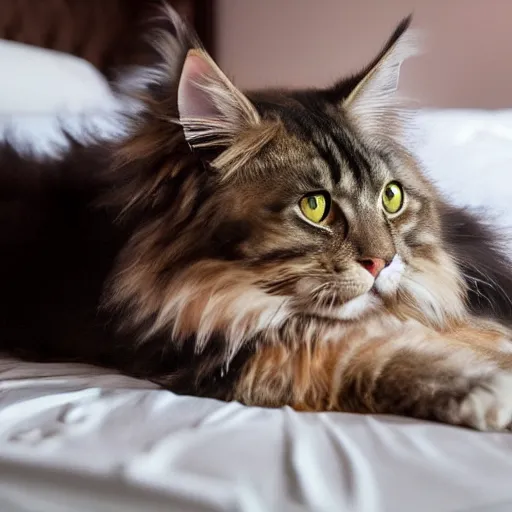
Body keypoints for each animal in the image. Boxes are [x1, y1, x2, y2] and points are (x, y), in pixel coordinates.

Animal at [3, 7, 512, 432]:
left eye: (391, 197)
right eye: (315, 207)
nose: (382, 262)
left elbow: (462, 326)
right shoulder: (214, 356)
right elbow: (359, 354)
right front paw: (480, 385)